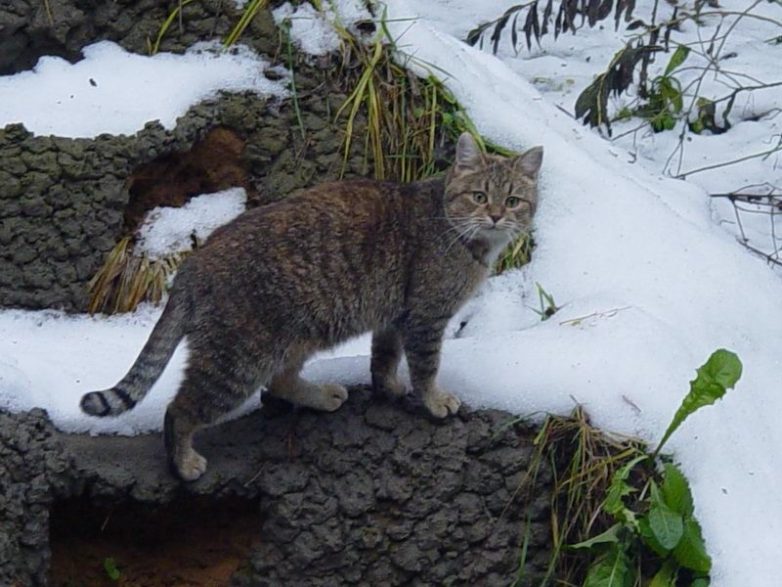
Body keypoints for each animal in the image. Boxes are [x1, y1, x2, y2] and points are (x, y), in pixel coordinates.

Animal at [81, 133, 544, 482]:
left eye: (514, 201)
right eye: (480, 196)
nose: (497, 215)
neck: (456, 228)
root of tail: (192, 265)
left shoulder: (395, 315)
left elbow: (384, 358)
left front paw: (389, 387)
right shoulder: (426, 317)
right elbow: (426, 368)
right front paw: (432, 400)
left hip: (293, 339)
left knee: (278, 383)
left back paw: (320, 396)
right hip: (238, 362)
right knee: (181, 409)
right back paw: (183, 462)